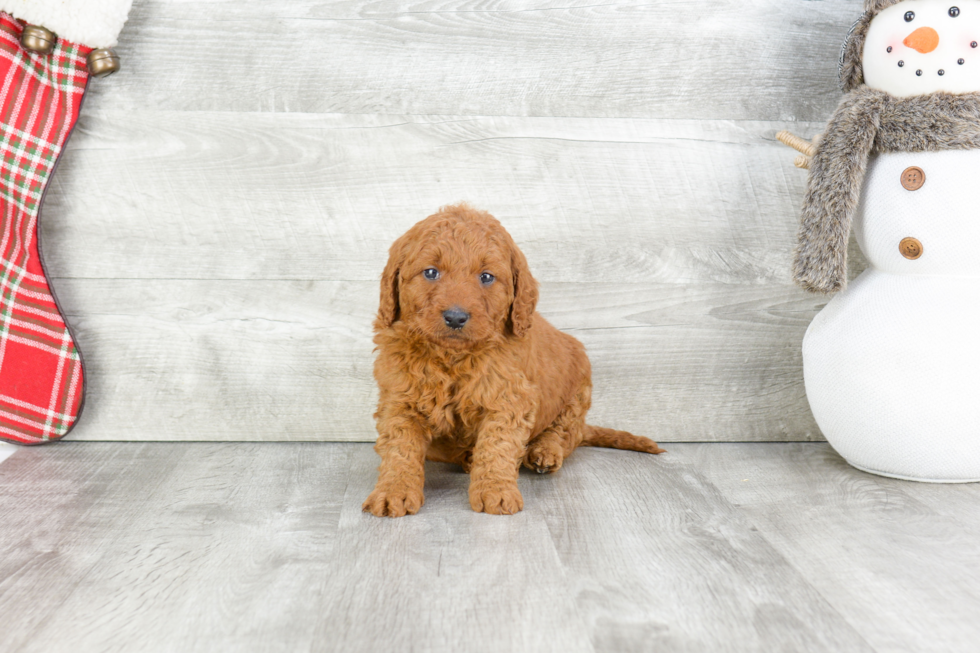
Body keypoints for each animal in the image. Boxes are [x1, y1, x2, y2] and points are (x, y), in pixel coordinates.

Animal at [364, 202, 664, 516]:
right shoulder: (399, 399)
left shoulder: (509, 397)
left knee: (566, 433)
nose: (456, 317)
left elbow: (497, 445)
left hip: (578, 392)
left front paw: (495, 492)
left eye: (486, 277)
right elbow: (400, 448)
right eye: (431, 272)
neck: (453, 357)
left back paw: (544, 452)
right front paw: (393, 491)